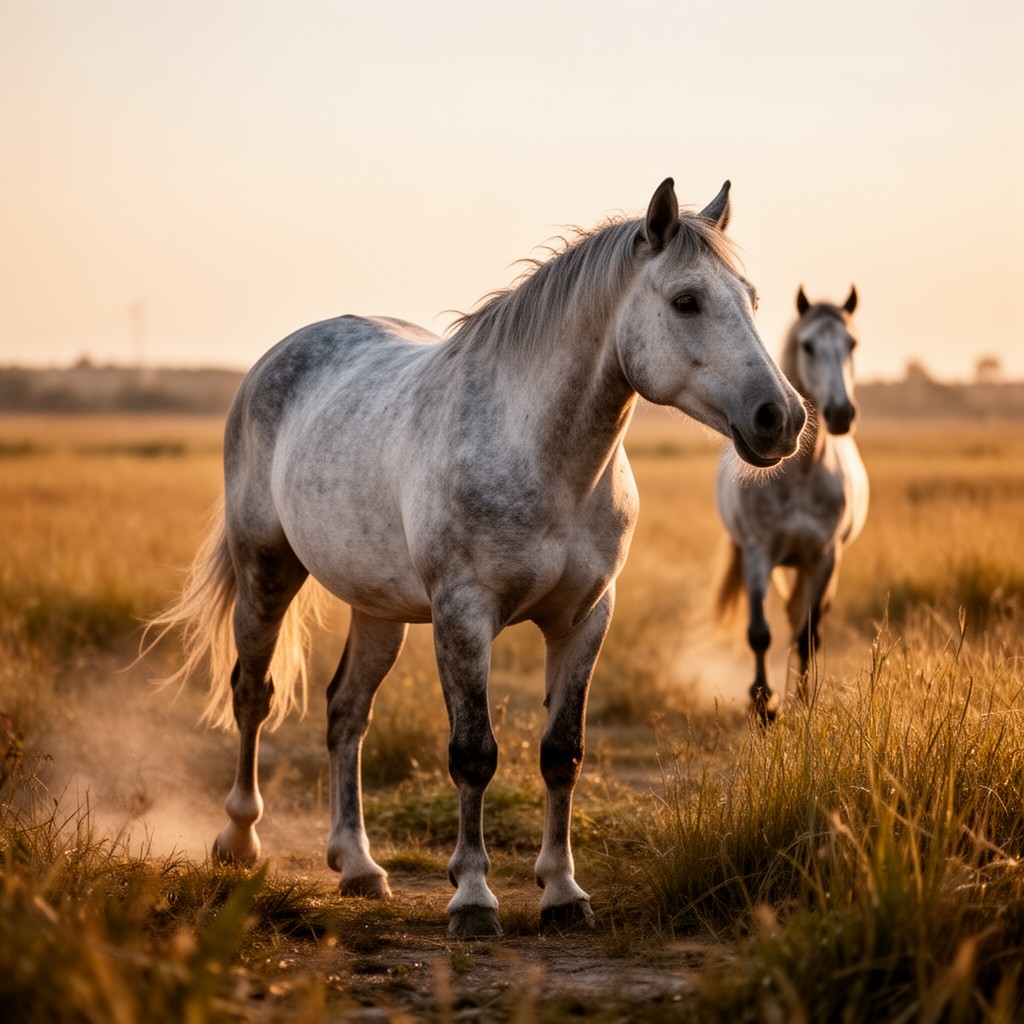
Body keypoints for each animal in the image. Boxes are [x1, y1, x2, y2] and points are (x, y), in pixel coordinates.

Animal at [149, 178, 806, 939]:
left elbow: (561, 753)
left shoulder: (585, 618)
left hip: (378, 609)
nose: (782, 418)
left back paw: (359, 866)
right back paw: (239, 841)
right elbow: (473, 754)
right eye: (686, 300)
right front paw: (471, 898)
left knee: (346, 712)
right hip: (267, 569)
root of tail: (276, 359)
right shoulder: (464, 616)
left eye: (751, 298)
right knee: (253, 694)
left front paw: (562, 894)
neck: (545, 458)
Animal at [715, 285, 869, 723]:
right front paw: (763, 702)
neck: (800, 477)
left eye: (852, 344)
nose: (841, 413)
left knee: (804, 622)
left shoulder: (824, 558)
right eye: (808, 345)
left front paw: (801, 701)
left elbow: (807, 636)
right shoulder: (758, 554)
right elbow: (759, 633)